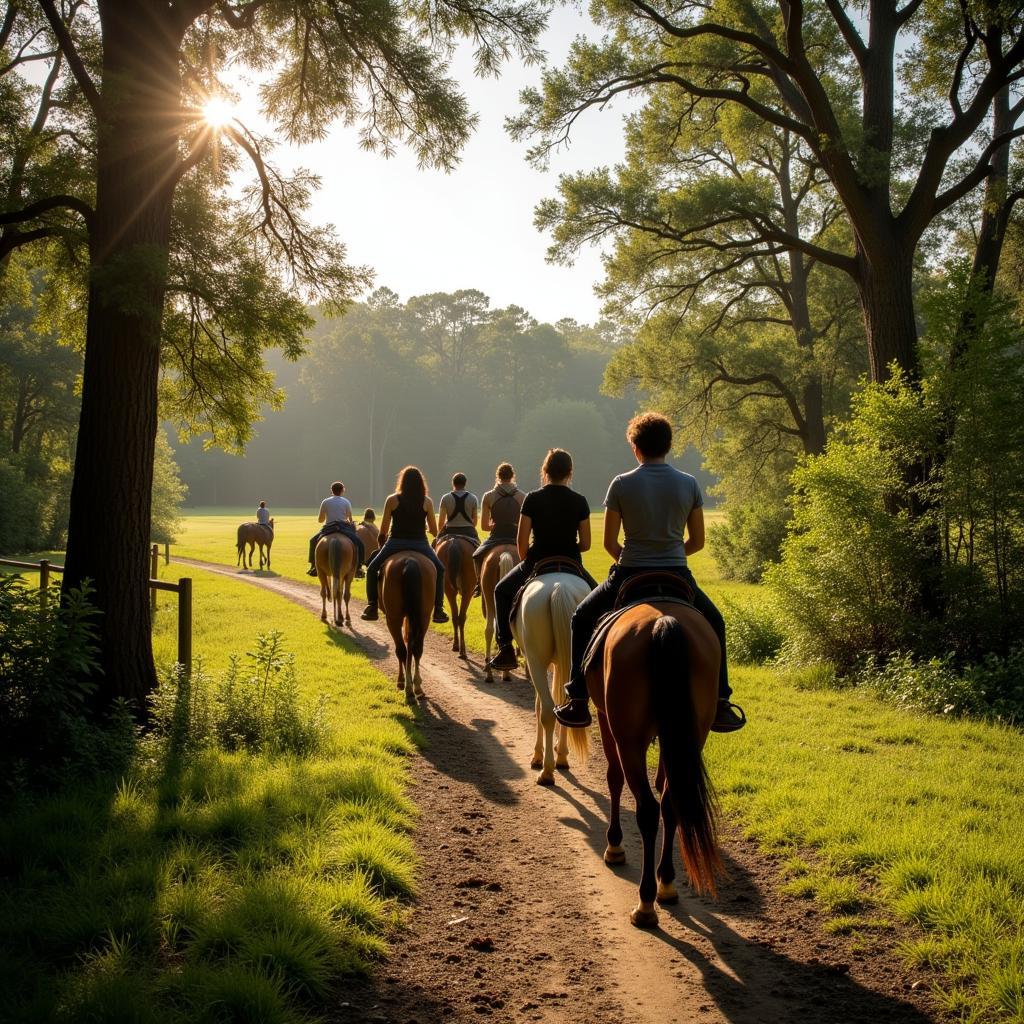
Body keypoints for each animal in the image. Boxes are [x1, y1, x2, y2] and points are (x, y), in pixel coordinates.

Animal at [380, 552, 436, 696]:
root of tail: (410, 561)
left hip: (393, 618)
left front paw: (403, 680)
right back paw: (416, 685)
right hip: (424, 617)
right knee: (416, 648)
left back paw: (406, 685)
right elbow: (410, 643)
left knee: (401, 650)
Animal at [512, 577, 593, 782]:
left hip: (536, 661)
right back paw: (561, 759)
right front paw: (560, 751)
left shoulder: (536, 663)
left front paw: (537, 755)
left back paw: (546, 771)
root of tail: (559, 587)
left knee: (547, 711)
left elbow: (539, 705)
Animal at [589, 598, 724, 929]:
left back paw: (645, 902)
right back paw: (666, 884)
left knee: (648, 809)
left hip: (629, 739)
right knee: (671, 801)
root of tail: (664, 622)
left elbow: (613, 778)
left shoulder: (605, 719)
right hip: (690, 732)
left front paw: (614, 845)